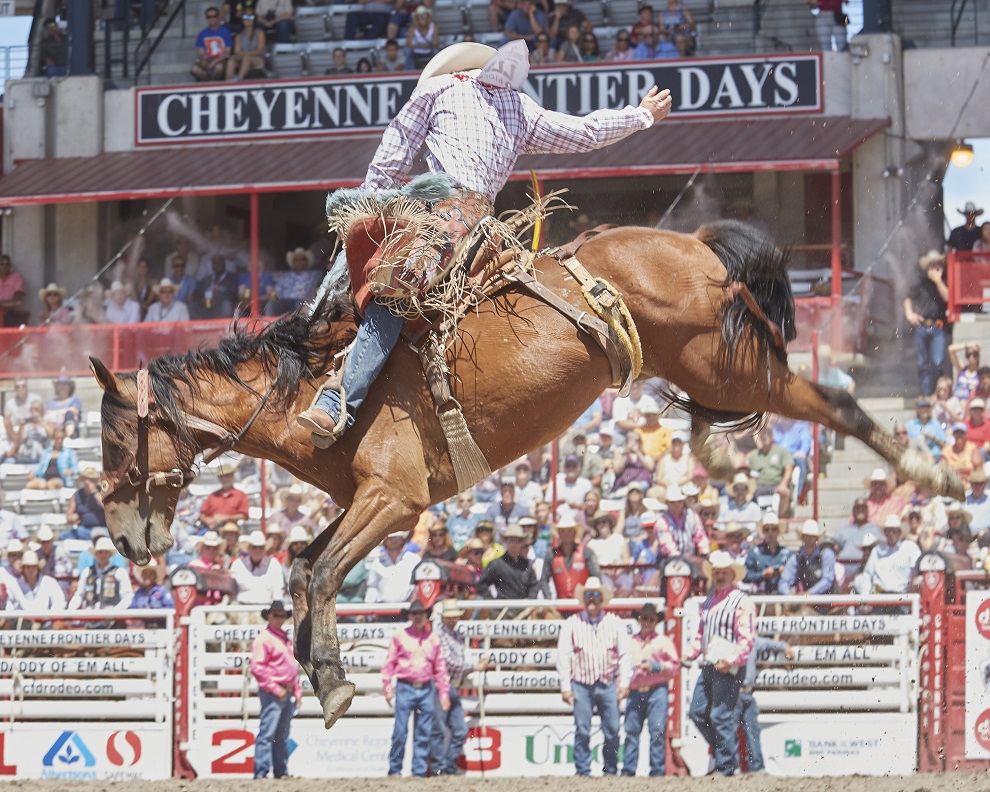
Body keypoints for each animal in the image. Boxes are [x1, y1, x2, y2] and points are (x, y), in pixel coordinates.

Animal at [93, 220, 960, 728]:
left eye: (111, 441)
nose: (124, 541)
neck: (313, 383)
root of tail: (689, 237)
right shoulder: (367, 500)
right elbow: (305, 565)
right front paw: (317, 671)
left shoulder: (394, 501)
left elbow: (324, 572)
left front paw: (333, 680)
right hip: (702, 364)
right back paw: (717, 449)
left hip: (726, 363)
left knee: (830, 401)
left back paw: (931, 469)